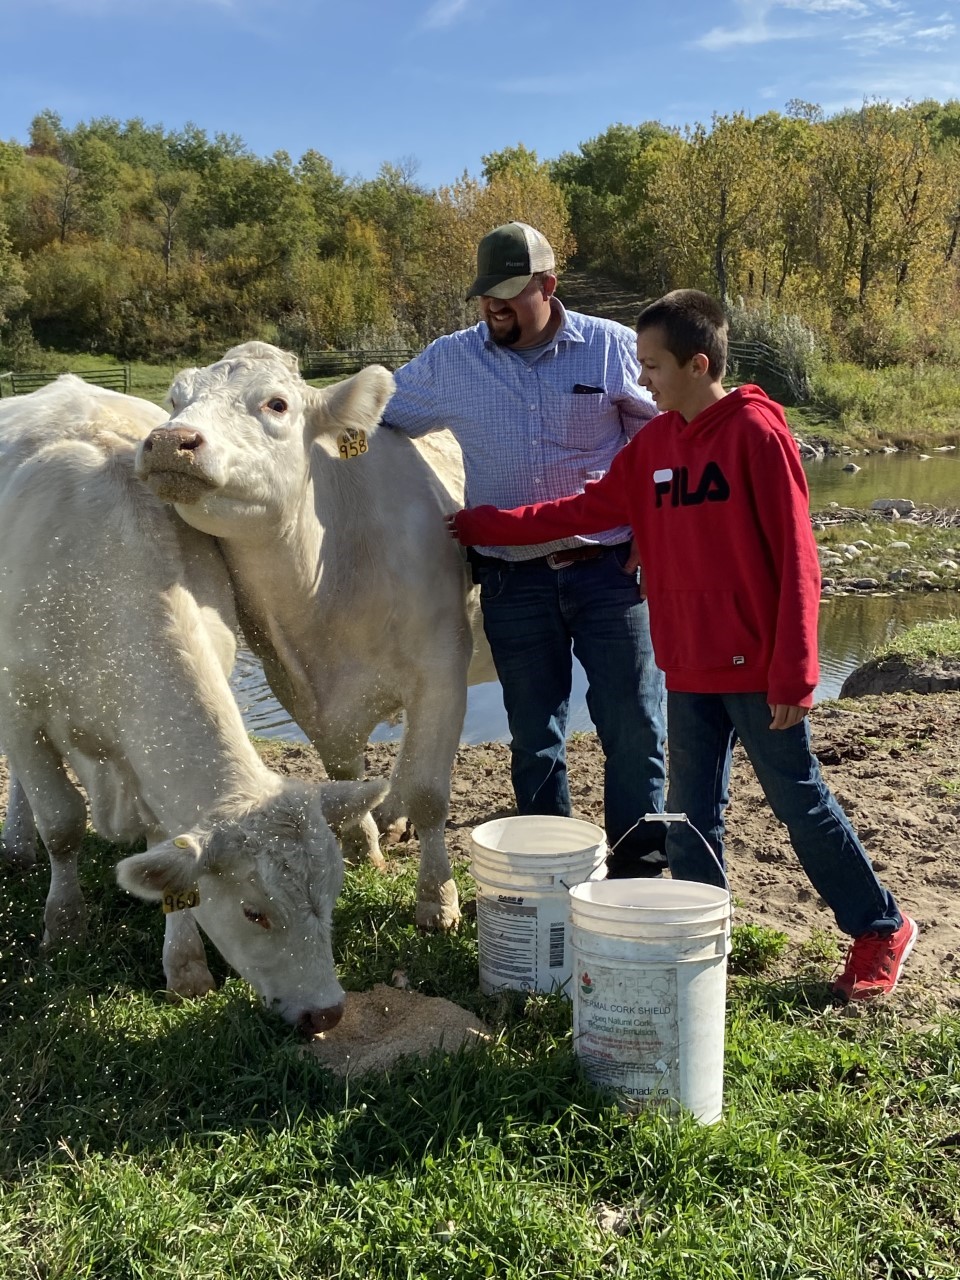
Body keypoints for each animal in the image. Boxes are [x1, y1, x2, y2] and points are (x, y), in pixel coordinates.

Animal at [0, 376, 386, 1029]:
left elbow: (166, 843)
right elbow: (61, 823)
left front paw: (184, 966)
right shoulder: (20, 704)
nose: (327, 1012)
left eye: (332, 896)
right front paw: (64, 924)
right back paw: (17, 845)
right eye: (255, 911)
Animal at [135, 345, 483, 931]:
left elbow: (430, 794)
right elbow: (346, 773)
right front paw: (365, 850)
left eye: (277, 403)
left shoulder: (443, 669)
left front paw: (437, 901)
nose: (168, 440)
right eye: (175, 399)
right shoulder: (297, 687)